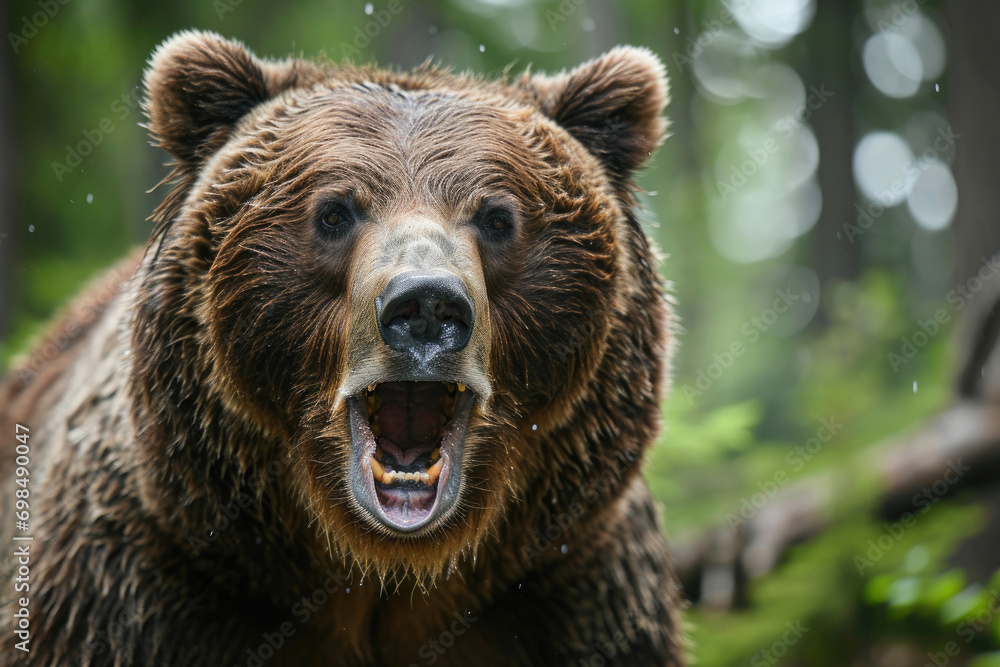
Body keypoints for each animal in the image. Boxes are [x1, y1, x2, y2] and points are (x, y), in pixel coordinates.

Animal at [0, 30, 685, 666]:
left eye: (496, 217)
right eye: (334, 212)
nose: (425, 306)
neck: (381, 578)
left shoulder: (570, 597)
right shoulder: (139, 588)